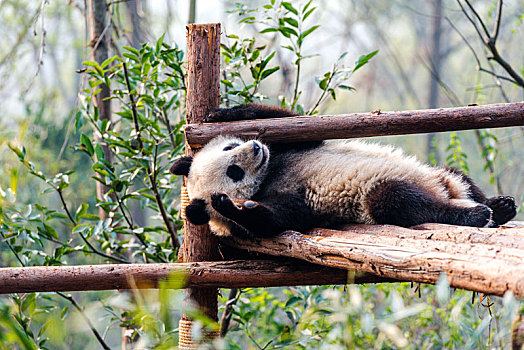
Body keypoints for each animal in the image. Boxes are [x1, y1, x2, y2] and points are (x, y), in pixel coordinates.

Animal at [170, 104, 516, 238]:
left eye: (228, 149)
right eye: (235, 172)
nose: (255, 148)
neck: (269, 172)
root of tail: (444, 189)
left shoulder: (288, 148)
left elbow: (291, 121)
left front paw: (220, 114)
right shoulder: (292, 199)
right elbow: (277, 221)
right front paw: (228, 205)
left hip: (439, 174)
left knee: (458, 176)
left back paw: (500, 206)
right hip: (378, 194)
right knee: (398, 200)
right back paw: (477, 214)